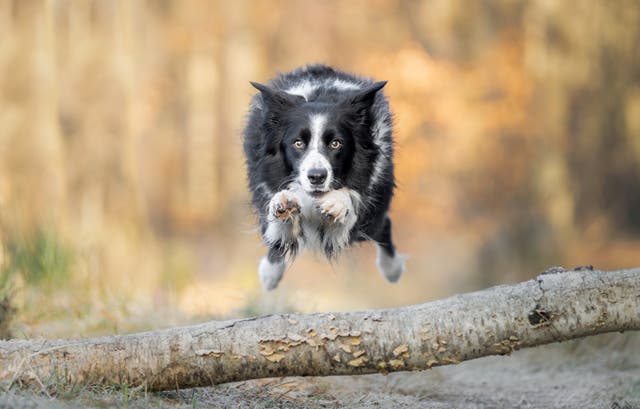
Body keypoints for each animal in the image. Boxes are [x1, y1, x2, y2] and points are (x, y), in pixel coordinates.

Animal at [242, 63, 402, 288]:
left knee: (383, 225)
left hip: (373, 217)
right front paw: (283, 202)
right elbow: (276, 229)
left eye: (336, 143)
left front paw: (337, 201)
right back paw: (270, 273)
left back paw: (392, 269)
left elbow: (349, 204)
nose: (316, 177)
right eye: (298, 143)